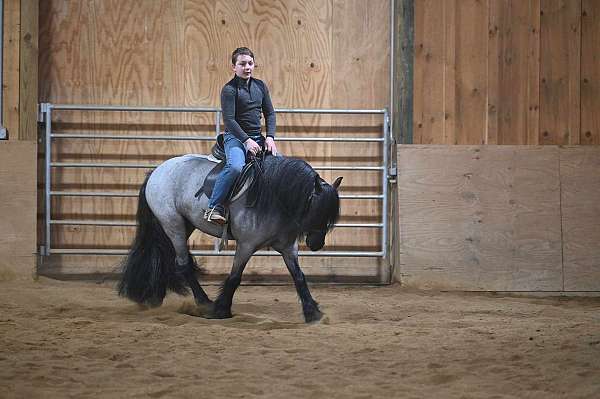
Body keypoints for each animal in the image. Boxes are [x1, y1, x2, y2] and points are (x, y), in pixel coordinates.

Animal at [118, 154, 342, 324]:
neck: (273, 197)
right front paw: (221, 310)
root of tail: (157, 171)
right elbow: (235, 277)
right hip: (173, 225)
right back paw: (204, 303)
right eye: (315, 209)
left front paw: (313, 313)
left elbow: (299, 277)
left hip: (183, 225)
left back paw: (156, 296)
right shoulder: (246, 245)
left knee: (166, 258)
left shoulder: (288, 248)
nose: (316, 244)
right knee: (182, 264)